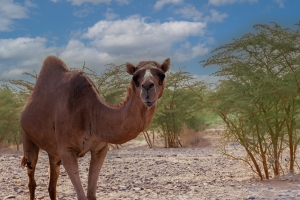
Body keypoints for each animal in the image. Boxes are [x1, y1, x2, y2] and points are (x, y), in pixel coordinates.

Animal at [20, 55, 171, 199]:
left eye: (162, 75)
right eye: (135, 77)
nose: (147, 87)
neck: (90, 113)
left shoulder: (100, 149)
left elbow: (91, 194)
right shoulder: (67, 150)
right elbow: (81, 196)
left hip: (54, 152)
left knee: (52, 184)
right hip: (27, 136)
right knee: (31, 176)